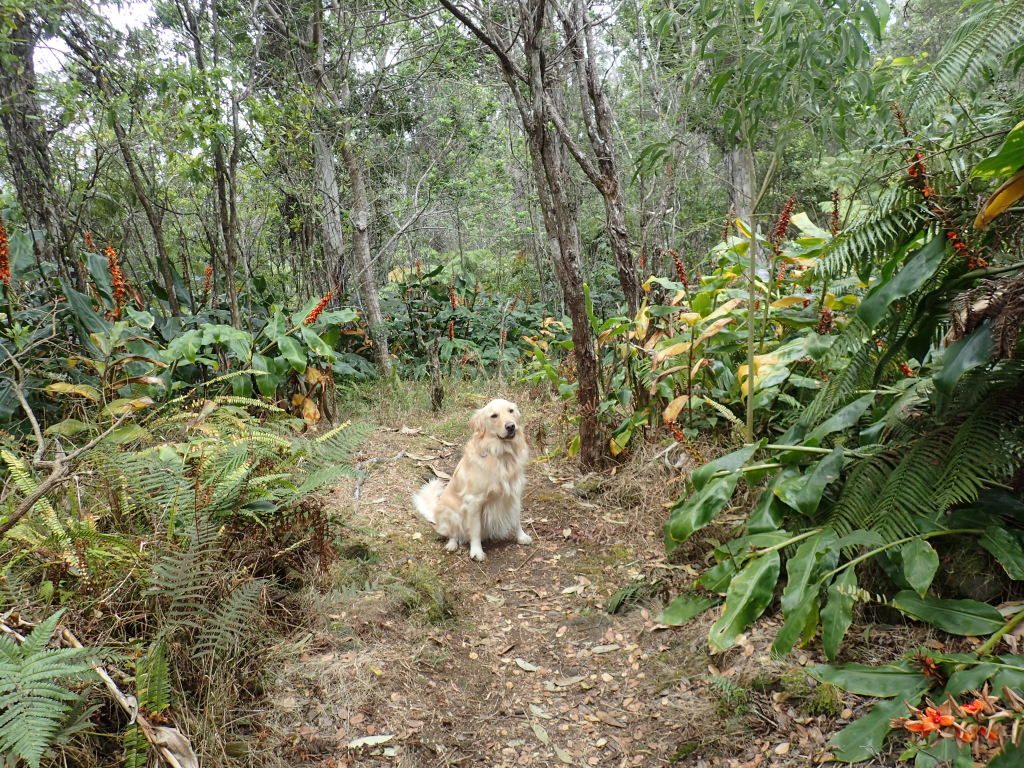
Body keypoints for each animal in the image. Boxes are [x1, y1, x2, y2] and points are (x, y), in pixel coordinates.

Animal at [413, 399, 532, 561]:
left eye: (511, 411)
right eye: (494, 416)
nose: (511, 426)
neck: (501, 454)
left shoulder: (515, 494)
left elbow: (517, 519)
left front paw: (521, 536)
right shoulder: (474, 501)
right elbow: (475, 530)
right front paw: (476, 551)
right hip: (451, 513)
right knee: (453, 534)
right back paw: (452, 544)